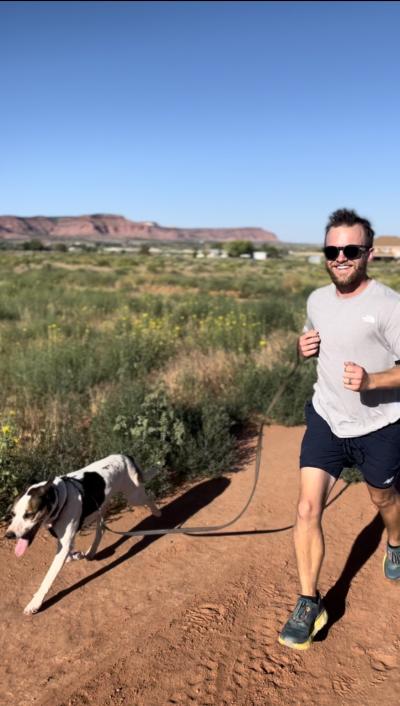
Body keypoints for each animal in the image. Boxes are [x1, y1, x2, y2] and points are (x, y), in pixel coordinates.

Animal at [5, 454, 161, 612]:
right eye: (12, 514)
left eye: (29, 514)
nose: (9, 535)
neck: (60, 498)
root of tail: (125, 456)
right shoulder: (64, 544)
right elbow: (69, 554)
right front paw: (76, 556)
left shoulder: (64, 545)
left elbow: (48, 578)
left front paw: (35, 603)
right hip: (102, 507)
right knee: (101, 529)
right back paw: (91, 552)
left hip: (134, 496)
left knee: (148, 498)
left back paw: (158, 513)